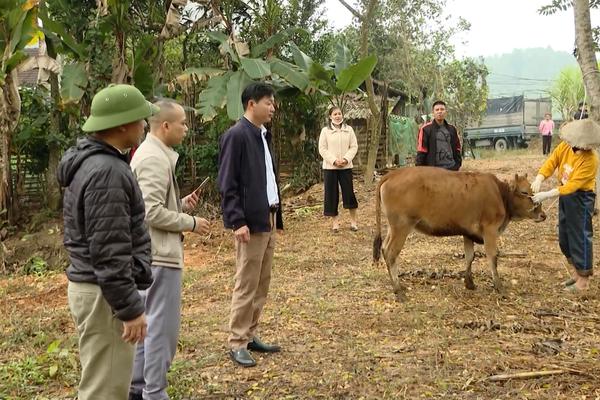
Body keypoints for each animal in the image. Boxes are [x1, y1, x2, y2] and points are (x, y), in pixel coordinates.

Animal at [372, 166, 548, 300]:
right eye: (524, 192)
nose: (543, 215)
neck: (499, 193)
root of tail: (393, 173)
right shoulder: (490, 230)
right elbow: (493, 257)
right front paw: (499, 286)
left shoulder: (468, 233)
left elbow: (470, 256)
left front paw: (469, 283)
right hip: (402, 227)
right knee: (391, 253)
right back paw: (398, 290)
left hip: (393, 228)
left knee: (384, 248)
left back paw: (397, 286)